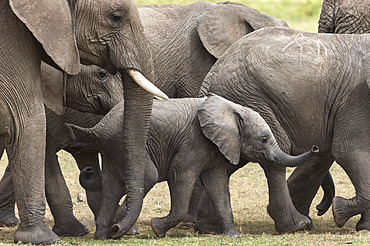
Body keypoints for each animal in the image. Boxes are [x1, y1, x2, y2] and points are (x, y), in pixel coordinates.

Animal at [66, 93, 318, 238]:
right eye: (264, 139)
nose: (315, 147)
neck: (232, 108)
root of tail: (99, 127)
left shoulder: (214, 148)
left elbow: (218, 185)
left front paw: (233, 236)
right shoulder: (193, 142)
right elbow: (181, 176)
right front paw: (157, 228)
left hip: (112, 149)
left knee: (111, 187)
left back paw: (105, 234)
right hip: (122, 145)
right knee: (147, 176)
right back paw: (118, 229)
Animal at [199, 26, 370, 233]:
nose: (320, 209)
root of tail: (210, 75)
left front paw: (365, 226)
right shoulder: (355, 97)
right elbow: (349, 151)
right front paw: (340, 212)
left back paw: (208, 228)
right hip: (250, 97)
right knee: (275, 156)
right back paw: (297, 225)